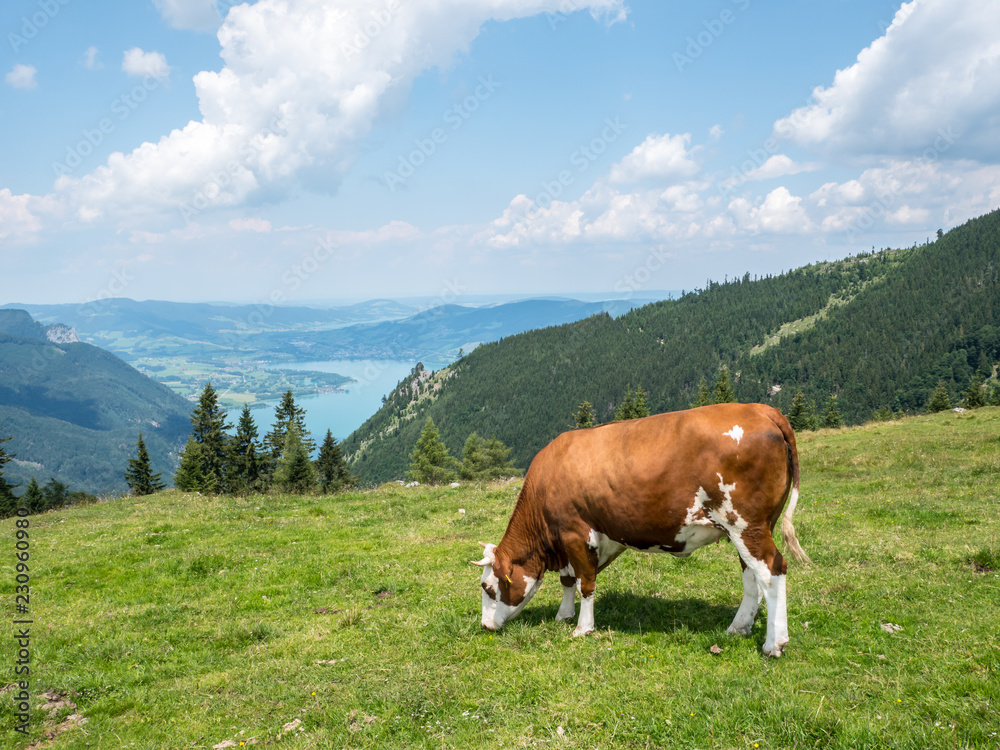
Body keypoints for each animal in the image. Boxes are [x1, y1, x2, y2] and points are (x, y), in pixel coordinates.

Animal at [474, 406, 812, 656]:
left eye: (488, 588)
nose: (485, 626)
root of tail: (763, 409)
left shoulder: (575, 532)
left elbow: (585, 584)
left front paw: (582, 628)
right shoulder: (574, 540)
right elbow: (569, 580)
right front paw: (563, 615)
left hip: (745, 524)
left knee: (771, 571)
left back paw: (773, 643)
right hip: (752, 527)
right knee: (751, 575)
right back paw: (738, 627)